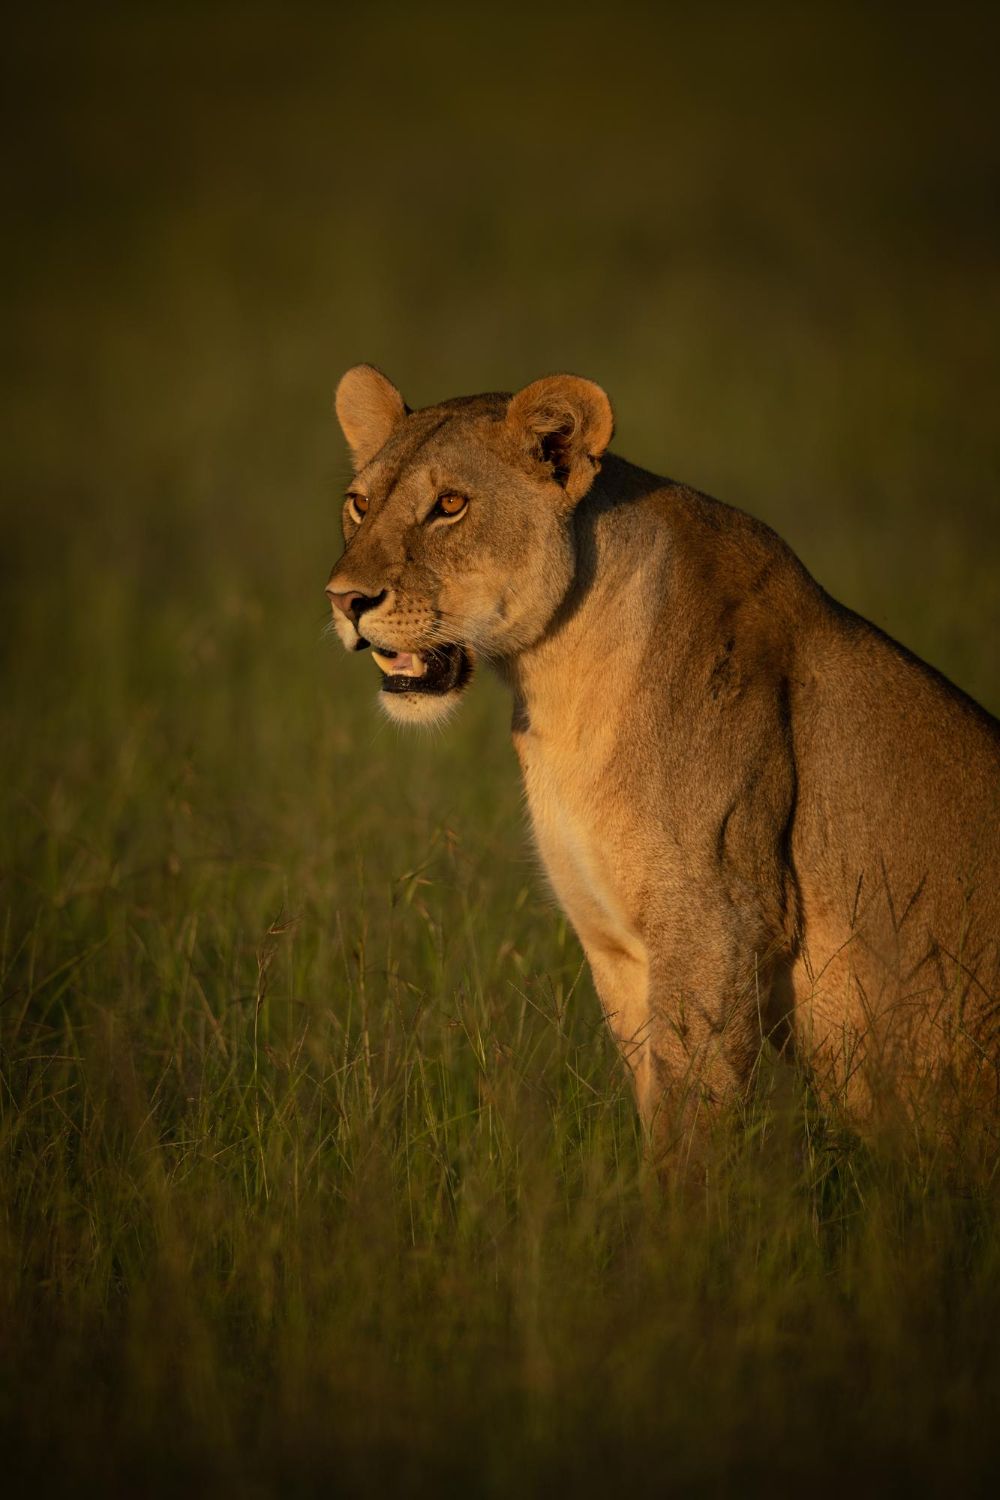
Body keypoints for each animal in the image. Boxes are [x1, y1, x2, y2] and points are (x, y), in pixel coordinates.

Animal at [325, 364, 1000, 1161]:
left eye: (450, 505)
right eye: (359, 503)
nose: (344, 600)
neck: (555, 685)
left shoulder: (717, 923)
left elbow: (693, 1126)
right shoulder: (617, 947)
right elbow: (657, 1107)